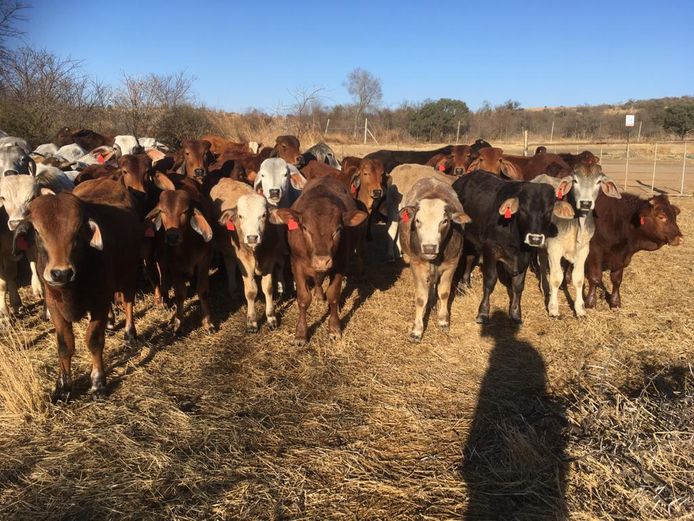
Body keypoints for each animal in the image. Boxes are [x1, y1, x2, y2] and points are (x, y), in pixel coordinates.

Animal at [13, 177, 141, 400]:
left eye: (78, 230)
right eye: (37, 231)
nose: (61, 273)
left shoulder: (100, 301)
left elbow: (94, 341)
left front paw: (98, 382)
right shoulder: (54, 304)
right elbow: (65, 344)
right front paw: (63, 386)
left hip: (129, 274)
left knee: (128, 303)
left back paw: (129, 333)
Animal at [145, 177, 215, 336]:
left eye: (185, 211)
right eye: (162, 211)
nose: (172, 237)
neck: (187, 247)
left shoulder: (204, 260)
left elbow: (203, 291)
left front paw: (208, 323)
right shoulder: (174, 265)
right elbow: (180, 294)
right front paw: (179, 324)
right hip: (162, 256)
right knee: (162, 274)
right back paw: (164, 298)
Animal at [270, 177, 370, 344]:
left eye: (338, 229)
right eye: (304, 228)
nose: (322, 261)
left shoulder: (340, 265)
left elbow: (333, 296)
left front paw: (334, 328)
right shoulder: (296, 264)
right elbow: (303, 299)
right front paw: (301, 333)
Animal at [454, 171, 572, 322]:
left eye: (549, 210)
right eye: (523, 210)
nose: (535, 238)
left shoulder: (525, 257)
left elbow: (518, 286)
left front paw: (516, 314)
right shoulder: (490, 249)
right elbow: (490, 282)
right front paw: (483, 312)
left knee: (469, 258)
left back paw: (466, 284)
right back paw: (461, 289)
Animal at [536, 165, 624, 314]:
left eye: (598, 182)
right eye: (575, 180)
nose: (585, 203)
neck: (576, 226)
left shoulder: (584, 250)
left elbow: (578, 278)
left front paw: (580, 309)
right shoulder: (554, 249)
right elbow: (556, 278)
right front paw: (553, 309)